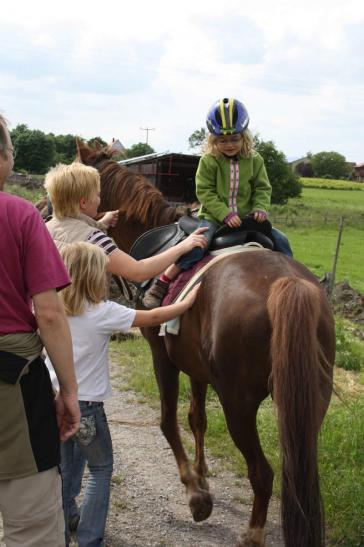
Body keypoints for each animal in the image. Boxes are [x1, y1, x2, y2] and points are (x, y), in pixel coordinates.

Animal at [77, 141, 336, 547]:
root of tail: (286, 284)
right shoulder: (196, 366)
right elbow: (196, 418)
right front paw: (202, 474)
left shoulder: (162, 356)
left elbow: (168, 421)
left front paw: (195, 492)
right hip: (309, 401)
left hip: (239, 404)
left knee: (262, 473)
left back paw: (253, 532)